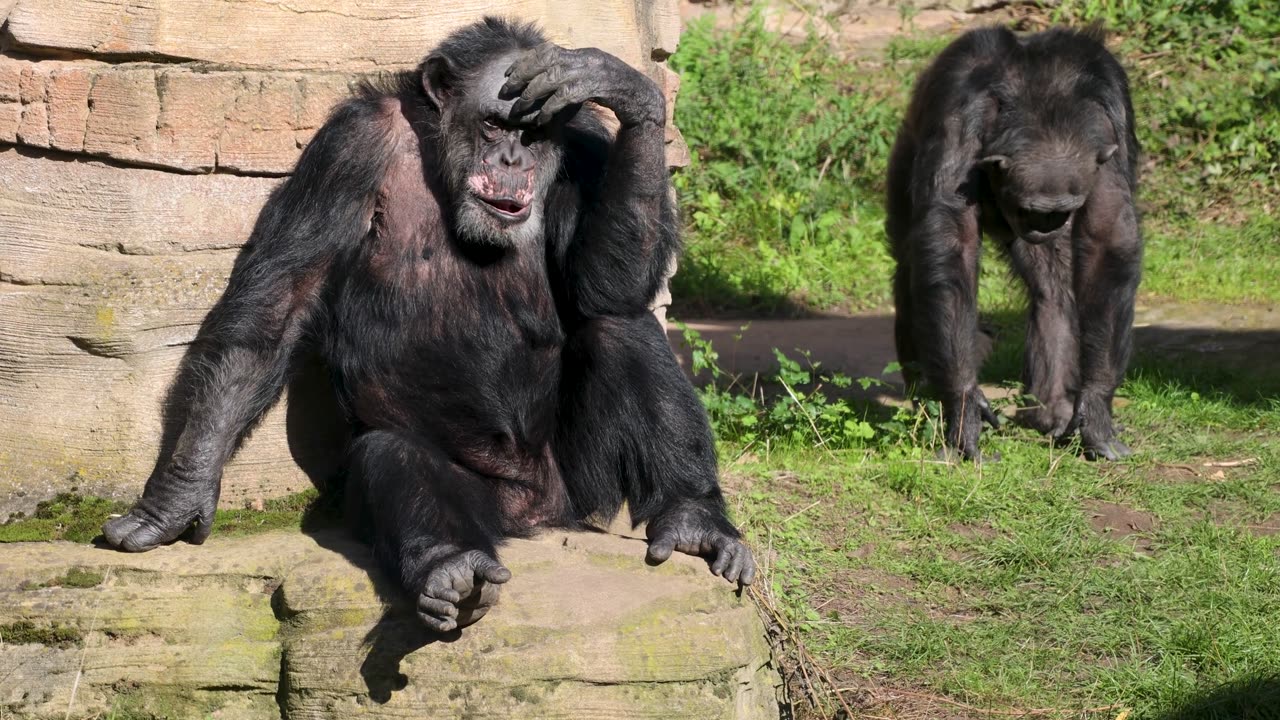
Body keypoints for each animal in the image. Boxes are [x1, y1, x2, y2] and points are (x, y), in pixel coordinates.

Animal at [107, 18, 757, 627]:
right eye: (494, 125)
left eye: (535, 133)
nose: (513, 159)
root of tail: (540, 517)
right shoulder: (348, 147)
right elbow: (276, 310)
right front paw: (176, 498)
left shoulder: (592, 147)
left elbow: (602, 287)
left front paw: (621, 86)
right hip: (486, 499)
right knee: (391, 453)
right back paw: (453, 567)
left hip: (582, 484)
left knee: (620, 325)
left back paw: (693, 518)